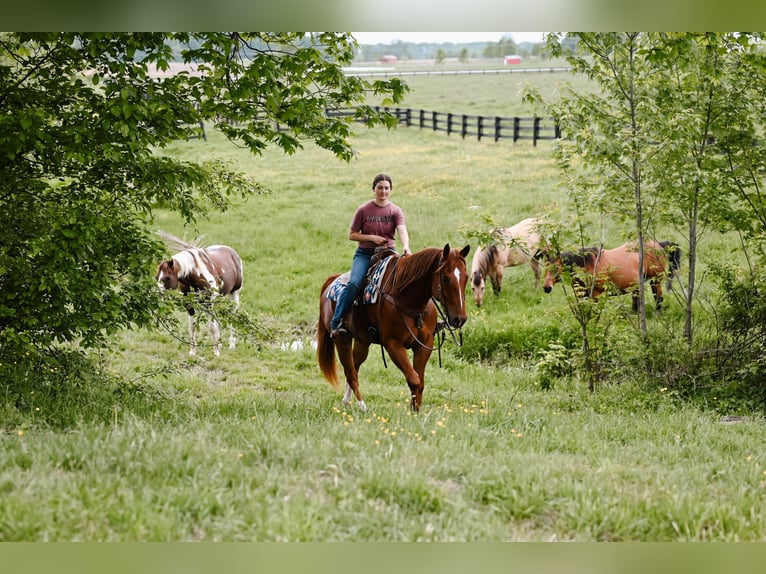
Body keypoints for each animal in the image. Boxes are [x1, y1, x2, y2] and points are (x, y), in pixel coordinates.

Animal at [316, 243, 472, 414]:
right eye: (445, 278)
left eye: (466, 278)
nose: (459, 319)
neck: (410, 302)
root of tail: (332, 282)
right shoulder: (392, 344)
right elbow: (414, 379)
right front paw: (413, 411)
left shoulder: (424, 345)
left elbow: (420, 382)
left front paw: (415, 411)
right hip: (341, 339)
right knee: (350, 372)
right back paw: (362, 406)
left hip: (362, 341)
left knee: (354, 367)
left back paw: (347, 401)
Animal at [544, 242, 684, 316]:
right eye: (545, 267)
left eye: (556, 267)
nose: (546, 288)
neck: (589, 266)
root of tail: (659, 244)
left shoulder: (596, 295)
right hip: (636, 286)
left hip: (656, 280)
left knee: (658, 298)